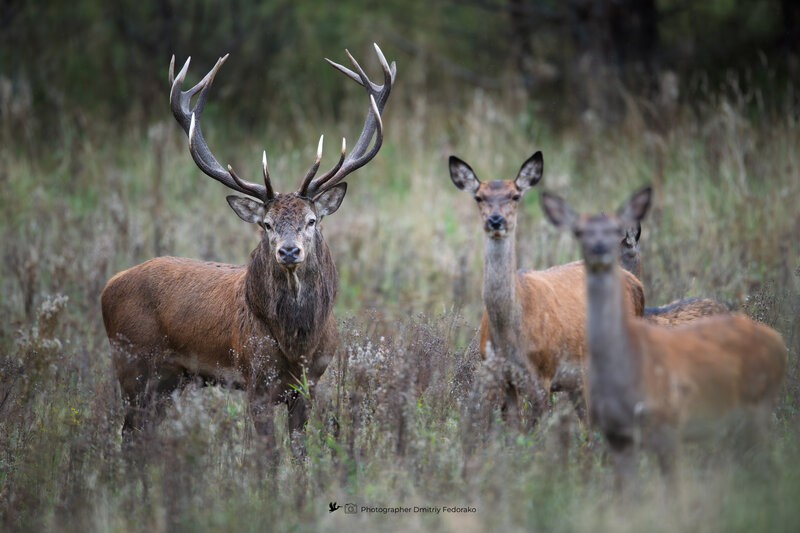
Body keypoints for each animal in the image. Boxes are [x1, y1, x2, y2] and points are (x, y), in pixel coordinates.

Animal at [101, 45, 396, 447]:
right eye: (266, 224)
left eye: (312, 220)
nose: (289, 251)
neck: (298, 346)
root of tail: (107, 287)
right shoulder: (256, 380)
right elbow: (268, 454)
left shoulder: (311, 384)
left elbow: (300, 451)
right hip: (131, 364)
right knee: (128, 433)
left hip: (168, 379)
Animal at [448, 153, 645, 426]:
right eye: (479, 196)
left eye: (515, 195)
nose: (496, 220)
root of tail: (636, 282)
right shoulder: (500, 376)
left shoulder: (543, 374)